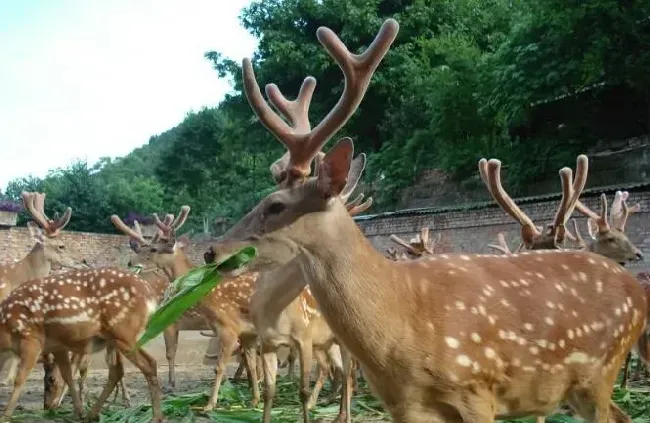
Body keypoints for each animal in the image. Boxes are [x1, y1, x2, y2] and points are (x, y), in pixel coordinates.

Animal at [0, 270, 163, 422]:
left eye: (50, 380)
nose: (47, 406)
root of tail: (150, 295)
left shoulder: (31, 339)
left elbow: (20, 378)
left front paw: (6, 416)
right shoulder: (57, 345)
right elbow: (68, 375)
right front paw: (78, 411)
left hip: (123, 333)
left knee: (148, 363)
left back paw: (156, 417)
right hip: (113, 339)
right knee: (117, 370)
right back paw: (91, 415)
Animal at [206, 18, 648, 423]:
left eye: (275, 206)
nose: (213, 251)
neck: (401, 325)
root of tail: (639, 294)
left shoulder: (477, 388)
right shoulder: (406, 404)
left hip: (599, 370)